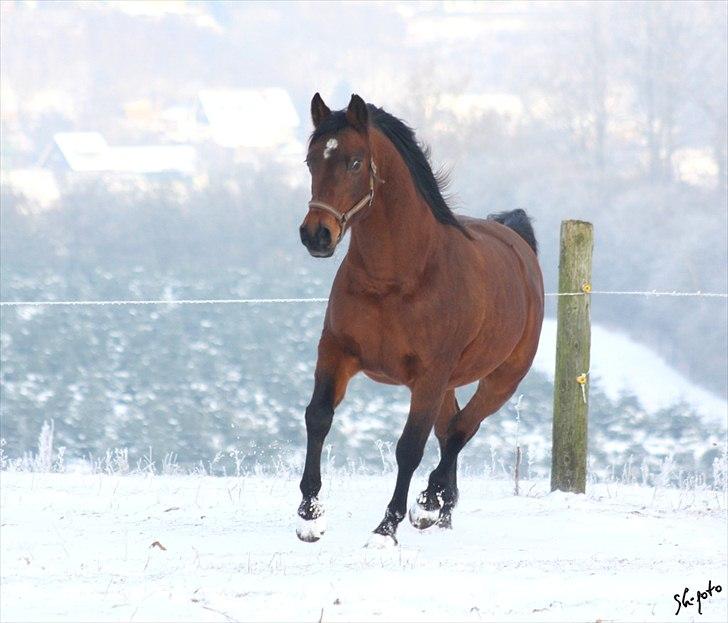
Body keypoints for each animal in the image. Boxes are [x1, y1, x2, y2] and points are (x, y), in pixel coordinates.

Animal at [296, 92, 540, 544]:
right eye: (310, 160)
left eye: (355, 162)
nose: (316, 235)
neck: (396, 278)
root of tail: (519, 244)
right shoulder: (336, 352)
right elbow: (318, 417)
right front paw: (310, 514)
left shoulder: (429, 375)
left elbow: (409, 447)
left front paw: (387, 525)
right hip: (448, 385)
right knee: (450, 429)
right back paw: (443, 510)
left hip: (500, 381)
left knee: (461, 430)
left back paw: (430, 504)